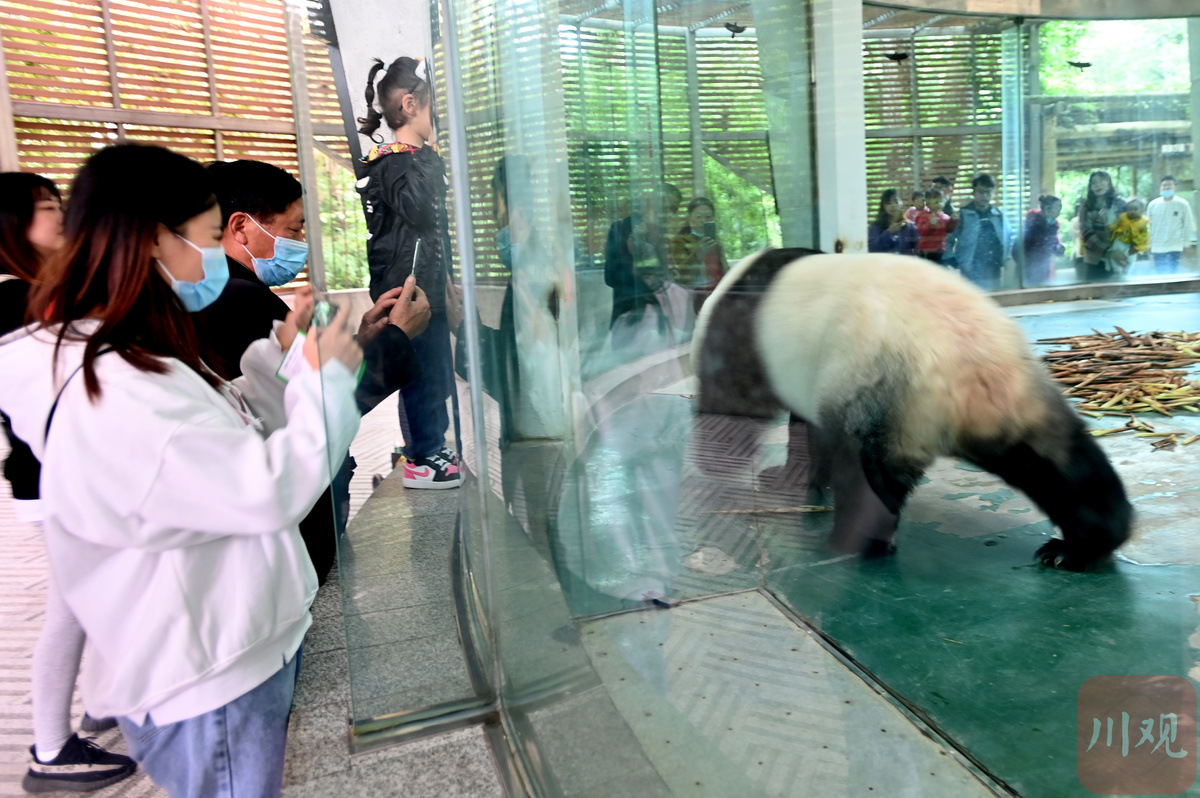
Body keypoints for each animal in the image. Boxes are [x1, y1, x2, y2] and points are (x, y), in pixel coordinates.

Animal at [692, 247, 1132, 571]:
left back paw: (856, 544)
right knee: (1067, 468)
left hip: (878, 392)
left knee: (870, 476)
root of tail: (967, 372)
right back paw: (1079, 548)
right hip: (1025, 401)